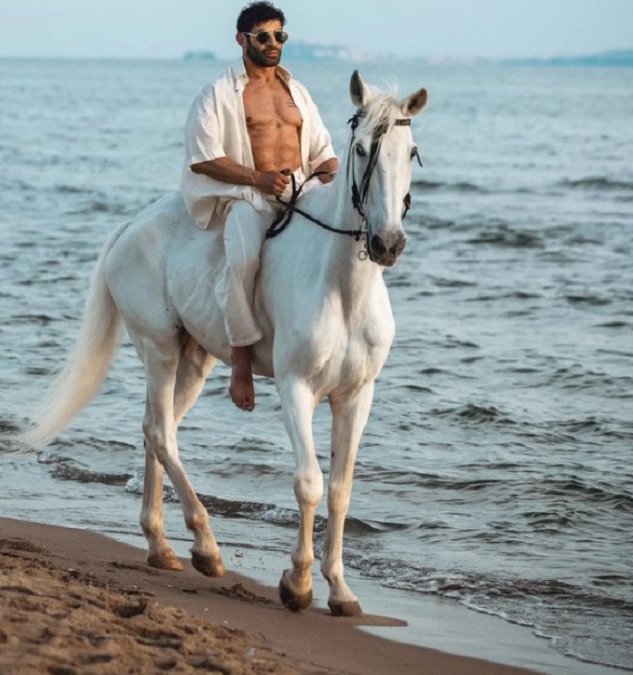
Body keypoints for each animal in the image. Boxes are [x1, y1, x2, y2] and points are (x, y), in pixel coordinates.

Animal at [18, 70, 424, 616]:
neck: (342, 287)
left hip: (194, 360)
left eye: (411, 152)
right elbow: (309, 483)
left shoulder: (357, 396)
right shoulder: (296, 388)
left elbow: (340, 490)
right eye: (361, 150)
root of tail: (132, 226)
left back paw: (160, 546)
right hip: (160, 350)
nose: (388, 243)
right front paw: (297, 583)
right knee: (162, 433)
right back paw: (206, 548)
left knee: (154, 429)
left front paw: (340, 590)